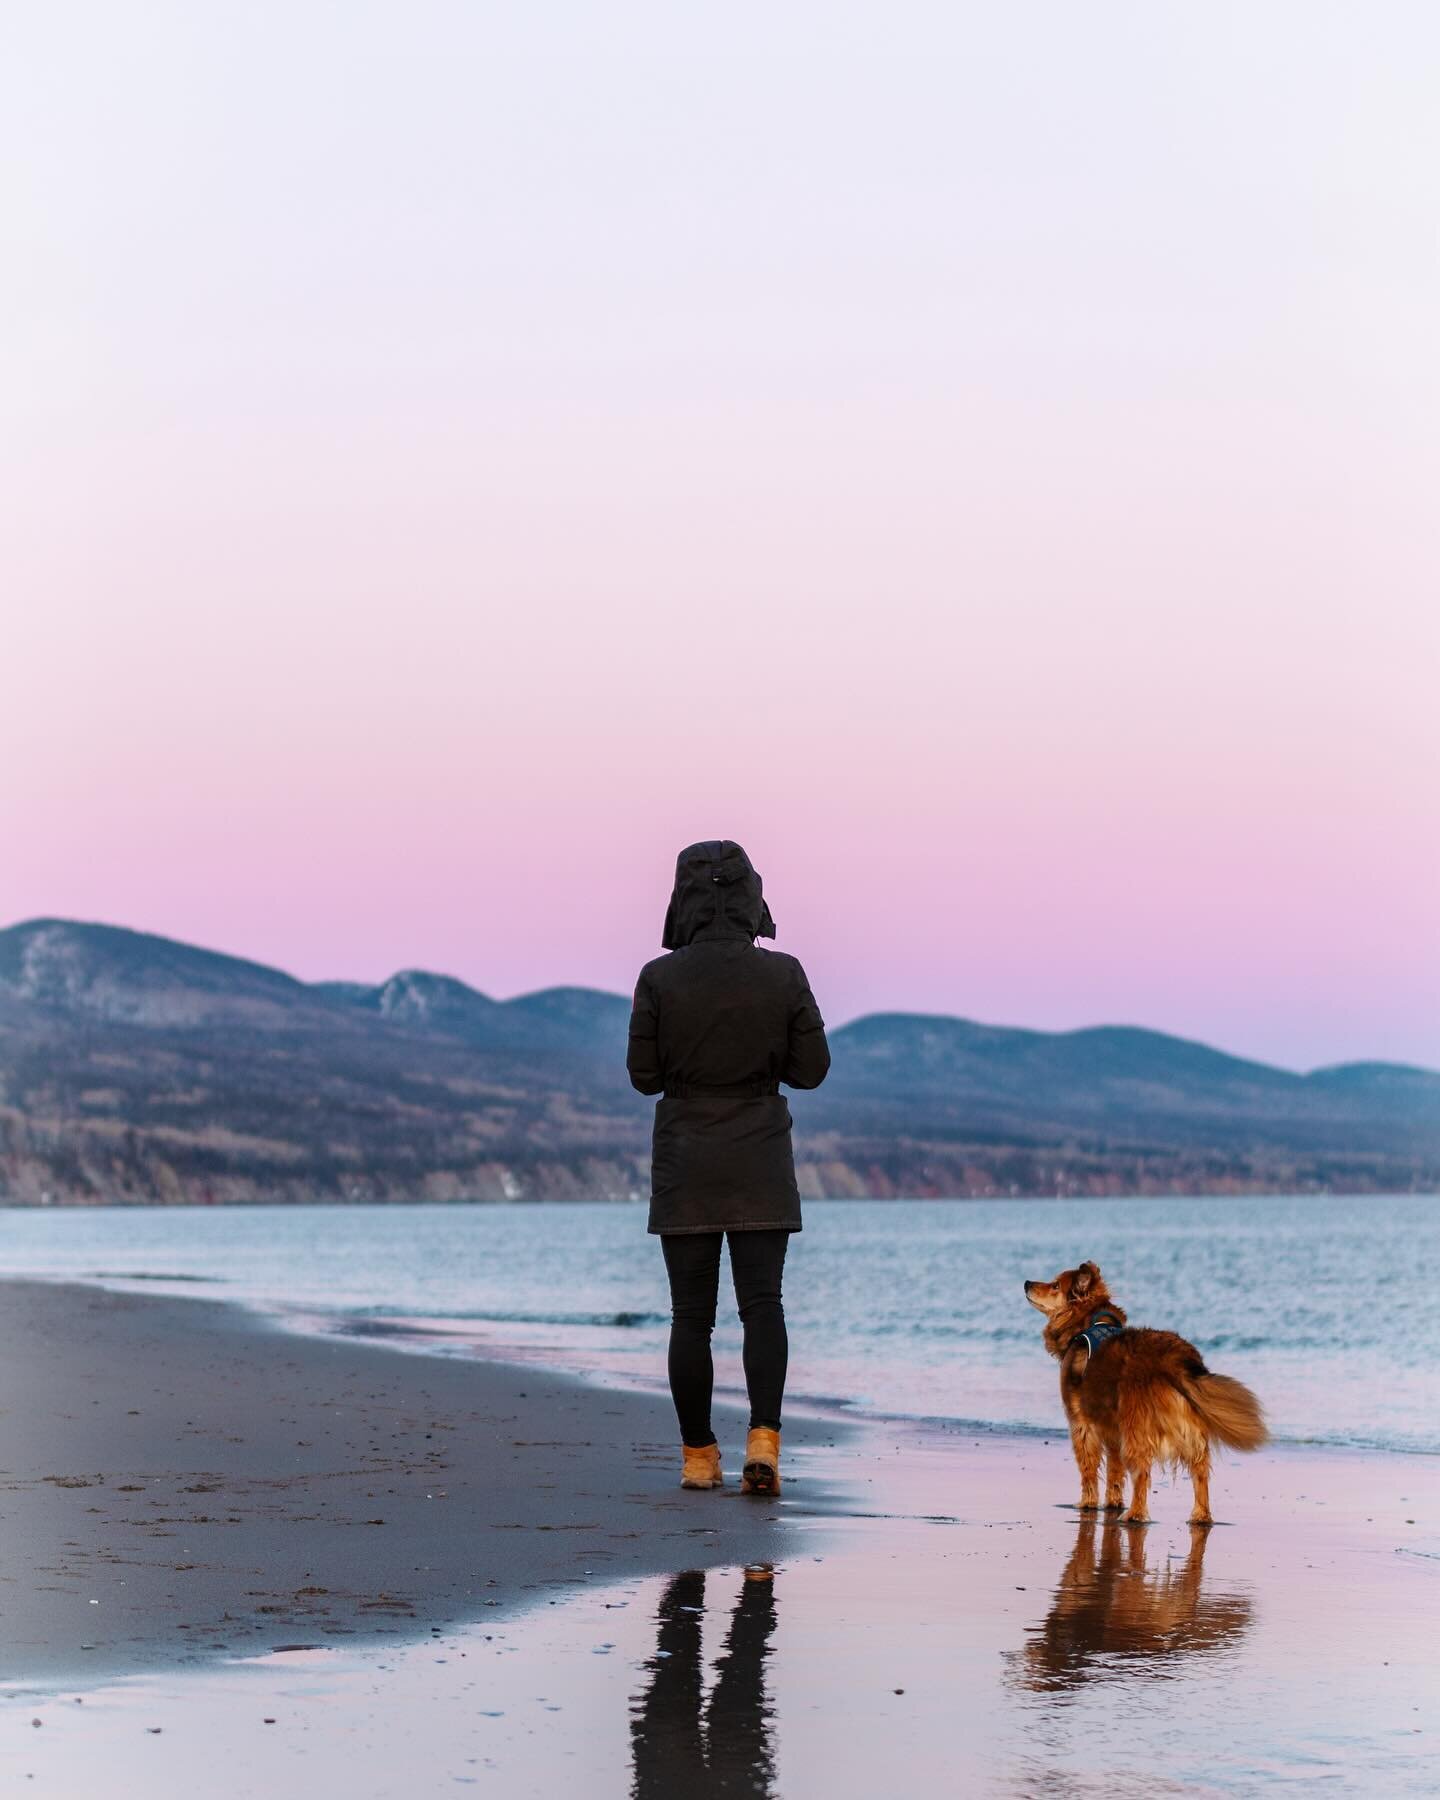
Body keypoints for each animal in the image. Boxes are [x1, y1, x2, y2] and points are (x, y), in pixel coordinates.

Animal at [1022, 1267, 1260, 1519]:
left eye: (1055, 1285)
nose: (1027, 1282)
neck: (1087, 1322)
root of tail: (1173, 1359)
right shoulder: (1112, 1429)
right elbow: (1114, 1471)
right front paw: (1113, 1501)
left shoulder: (1083, 1425)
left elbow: (1089, 1469)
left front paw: (1087, 1502)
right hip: (1188, 1430)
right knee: (1200, 1472)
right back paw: (1200, 1515)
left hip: (1135, 1428)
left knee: (1142, 1473)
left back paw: (1135, 1513)